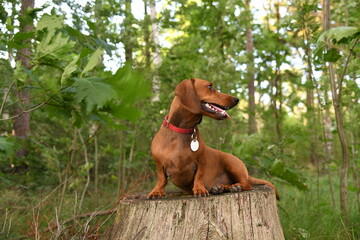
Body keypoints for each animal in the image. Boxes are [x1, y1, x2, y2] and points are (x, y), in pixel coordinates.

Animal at [148, 78, 280, 199]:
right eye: (210, 86)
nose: (236, 99)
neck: (182, 130)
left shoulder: (200, 161)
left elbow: (199, 176)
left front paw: (199, 189)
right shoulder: (159, 163)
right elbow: (162, 179)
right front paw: (156, 191)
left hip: (233, 165)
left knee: (247, 184)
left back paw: (235, 187)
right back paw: (221, 187)